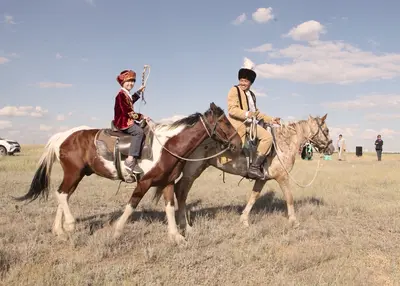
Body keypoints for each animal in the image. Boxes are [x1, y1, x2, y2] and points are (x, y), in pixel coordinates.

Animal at [14, 101, 241, 242]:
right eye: (224, 122)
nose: (238, 143)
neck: (167, 146)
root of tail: (63, 136)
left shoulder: (167, 183)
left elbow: (169, 208)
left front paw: (176, 236)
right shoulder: (144, 182)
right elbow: (131, 206)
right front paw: (117, 231)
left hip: (77, 175)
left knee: (63, 195)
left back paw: (59, 230)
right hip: (73, 173)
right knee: (61, 194)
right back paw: (69, 225)